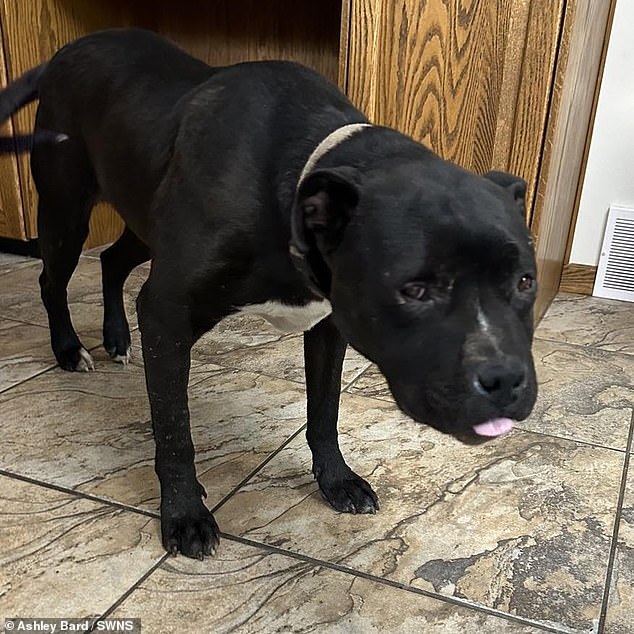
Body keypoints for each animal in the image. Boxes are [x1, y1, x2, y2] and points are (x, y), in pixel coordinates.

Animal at [0, 27, 536, 556]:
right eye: (415, 290)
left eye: (525, 281)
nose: (505, 380)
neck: (293, 179)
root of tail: (68, 50)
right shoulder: (167, 313)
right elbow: (174, 429)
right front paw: (184, 513)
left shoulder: (328, 327)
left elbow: (323, 411)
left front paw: (336, 481)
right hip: (65, 212)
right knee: (52, 280)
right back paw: (69, 349)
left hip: (140, 221)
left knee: (112, 261)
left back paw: (115, 338)